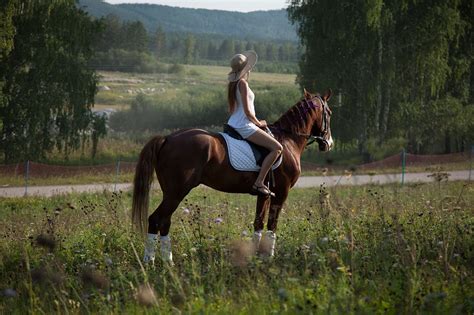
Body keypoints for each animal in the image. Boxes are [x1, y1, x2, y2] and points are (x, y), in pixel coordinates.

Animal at [131, 88, 336, 264]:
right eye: (330, 113)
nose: (329, 143)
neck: (288, 140)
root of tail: (167, 138)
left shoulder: (265, 194)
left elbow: (258, 223)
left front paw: (256, 257)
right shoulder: (281, 192)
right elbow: (272, 225)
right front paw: (269, 258)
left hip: (172, 193)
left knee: (164, 221)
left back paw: (168, 262)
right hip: (176, 192)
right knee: (156, 219)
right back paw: (150, 262)